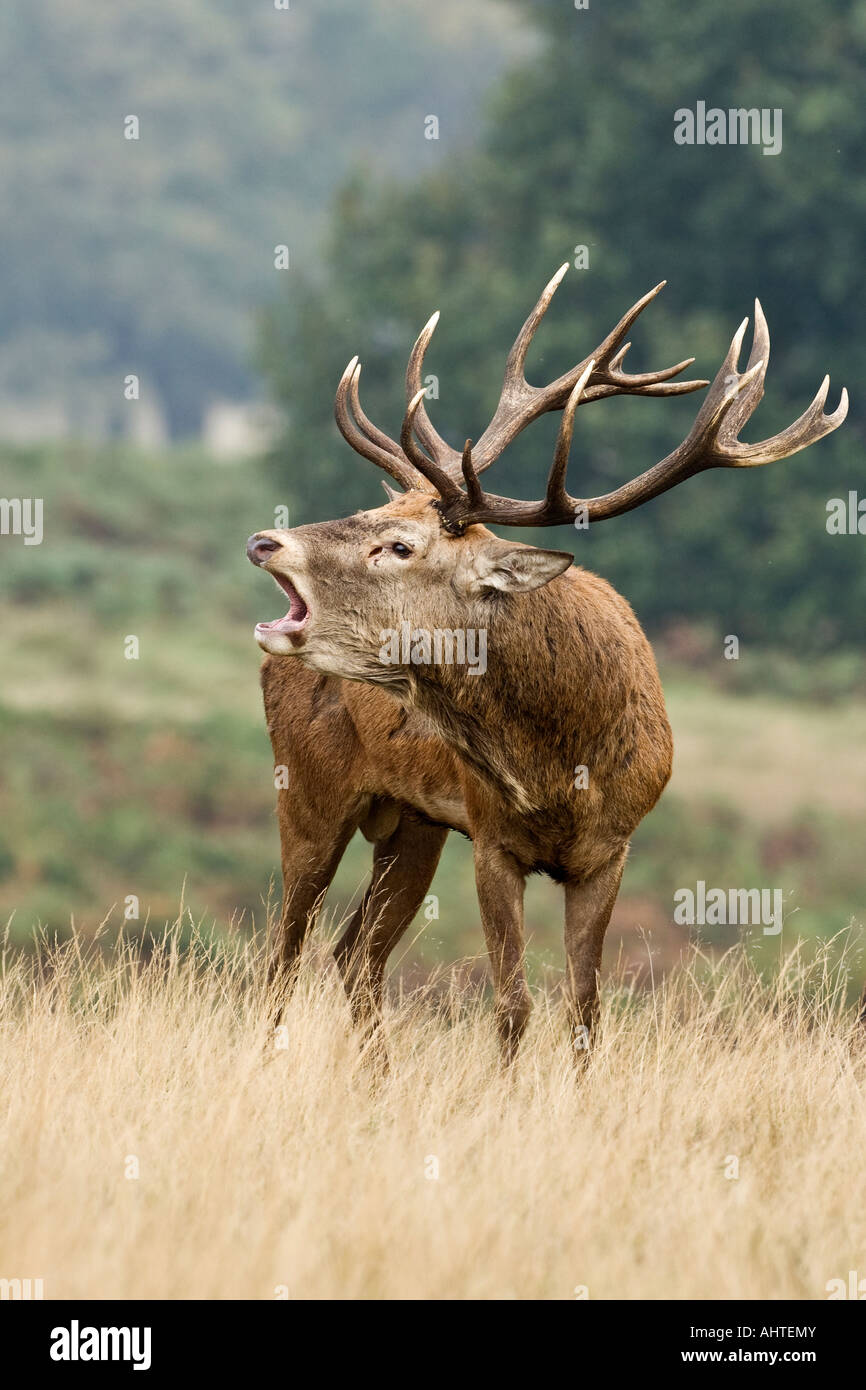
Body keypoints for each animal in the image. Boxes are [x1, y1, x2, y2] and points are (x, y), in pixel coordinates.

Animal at [246, 265, 846, 1063]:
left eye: (400, 545)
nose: (265, 541)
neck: (560, 763)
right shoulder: (493, 838)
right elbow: (513, 1006)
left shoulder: (610, 849)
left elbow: (587, 1010)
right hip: (308, 788)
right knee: (283, 955)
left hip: (413, 822)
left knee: (354, 954)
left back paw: (377, 1079)